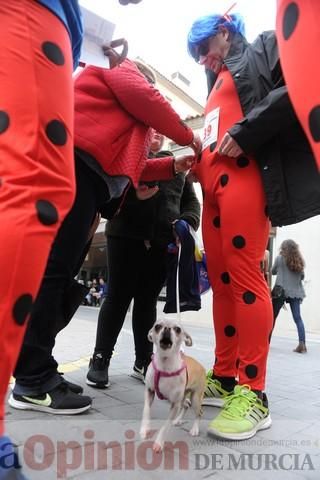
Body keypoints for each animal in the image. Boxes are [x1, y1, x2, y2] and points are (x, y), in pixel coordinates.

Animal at [139, 320, 205, 452]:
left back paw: (194, 429)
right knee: (186, 405)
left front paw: (159, 443)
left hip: (195, 397)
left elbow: (165, 426)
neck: (164, 365)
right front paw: (144, 429)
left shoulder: (174, 404)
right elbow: (146, 411)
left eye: (178, 329)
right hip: (184, 396)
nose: (167, 328)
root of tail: (202, 367)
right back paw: (178, 420)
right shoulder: (149, 391)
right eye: (157, 326)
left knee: (199, 412)